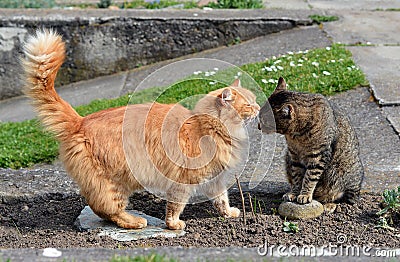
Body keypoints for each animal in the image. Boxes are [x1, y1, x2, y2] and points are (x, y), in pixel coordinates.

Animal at [22, 28, 260, 229]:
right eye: (248, 104)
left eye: (255, 100)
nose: (259, 107)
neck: (208, 128)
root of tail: (80, 120)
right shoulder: (183, 180)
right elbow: (176, 205)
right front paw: (173, 225)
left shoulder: (214, 179)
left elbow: (221, 200)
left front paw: (228, 214)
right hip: (114, 183)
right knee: (105, 207)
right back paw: (134, 222)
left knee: (99, 208)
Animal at [258, 76, 364, 211]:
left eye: (264, 121)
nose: (258, 126)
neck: (296, 136)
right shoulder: (294, 156)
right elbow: (297, 178)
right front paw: (294, 193)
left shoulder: (318, 157)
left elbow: (309, 178)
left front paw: (305, 195)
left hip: (346, 175)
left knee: (344, 198)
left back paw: (330, 204)